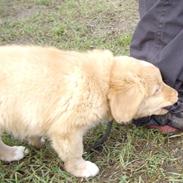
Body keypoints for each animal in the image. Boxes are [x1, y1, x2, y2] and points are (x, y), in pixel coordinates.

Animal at [0, 45, 178, 177]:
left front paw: (36, 140)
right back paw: (13, 153)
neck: (102, 83)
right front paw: (82, 169)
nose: (177, 94)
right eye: (157, 90)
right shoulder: (67, 130)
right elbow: (74, 153)